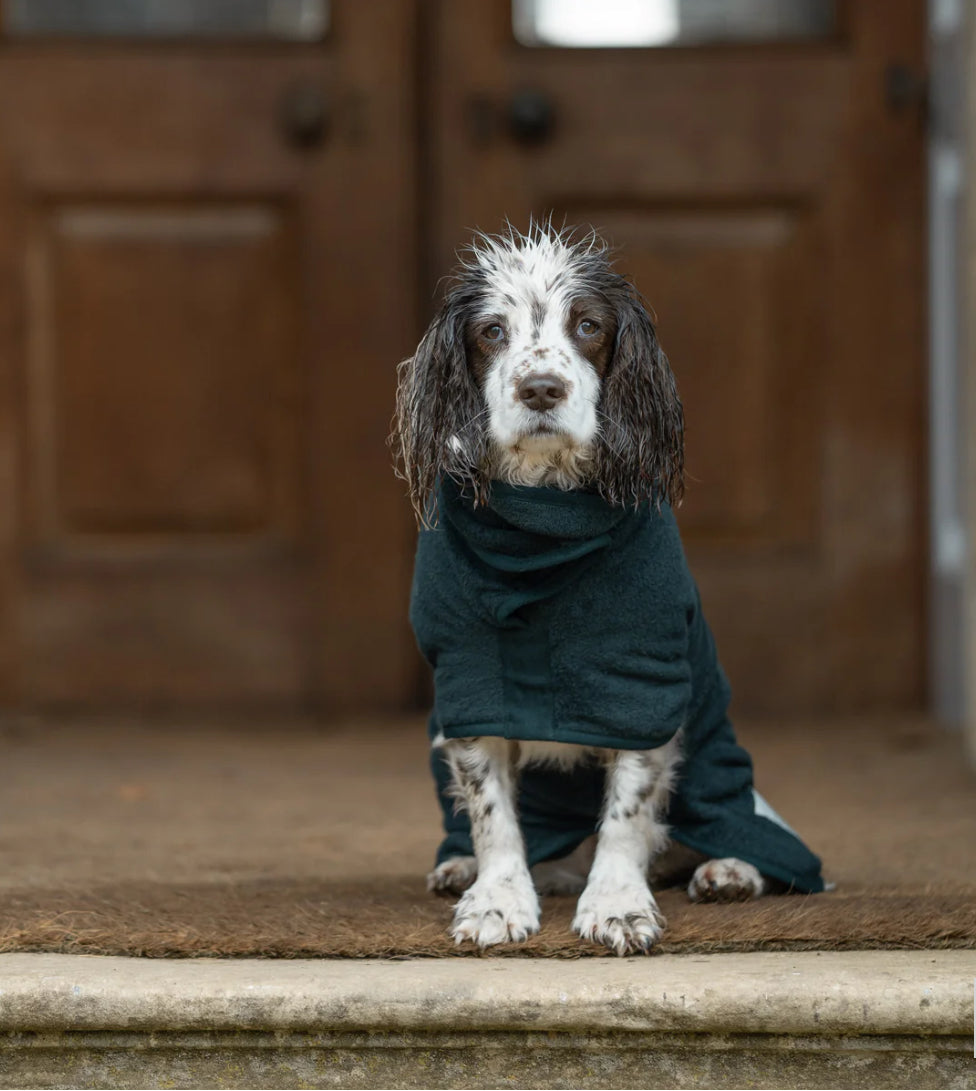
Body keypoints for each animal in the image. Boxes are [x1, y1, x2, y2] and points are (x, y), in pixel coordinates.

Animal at [392, 221, 820, 955]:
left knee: (747, 829)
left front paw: (618, 905)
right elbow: (491, 810)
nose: (540, 389)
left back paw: (730, 869)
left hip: (721, 768)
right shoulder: (470, 681)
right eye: (492, 331)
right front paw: (497, 899)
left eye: (589, 325)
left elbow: (628, 808)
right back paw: (462, 865)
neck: (543, 525)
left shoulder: (639, 678)